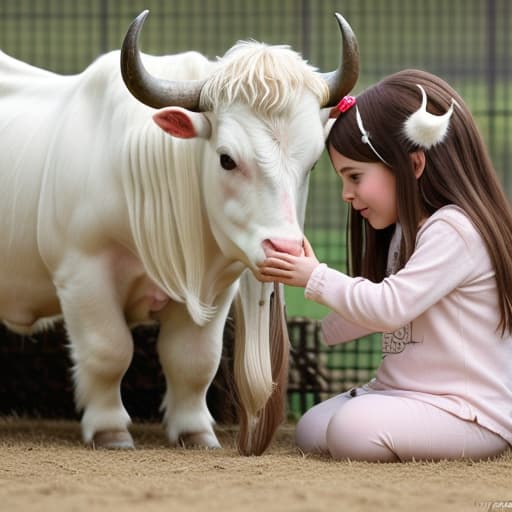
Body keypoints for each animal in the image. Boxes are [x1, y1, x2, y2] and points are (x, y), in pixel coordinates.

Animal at [0, 10, 360, 454]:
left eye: (312, 162)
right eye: (227, 159)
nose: (285, 248)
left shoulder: (217, 286)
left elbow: (194, 359)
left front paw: (195, 431)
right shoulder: (83, 274)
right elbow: (108, 351)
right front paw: (109, 429)